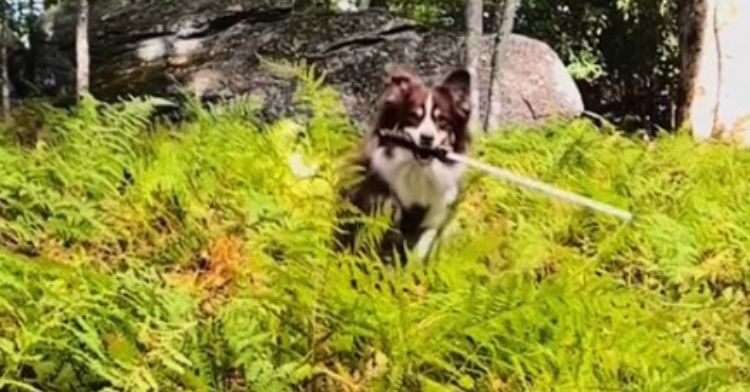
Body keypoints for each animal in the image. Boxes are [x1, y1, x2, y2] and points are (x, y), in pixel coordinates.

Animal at [338, 68, 472, 266]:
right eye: (413, 118)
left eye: (441, 121)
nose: (427, 138)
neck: (419, 172)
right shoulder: (380, 207)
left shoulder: (438, 215)